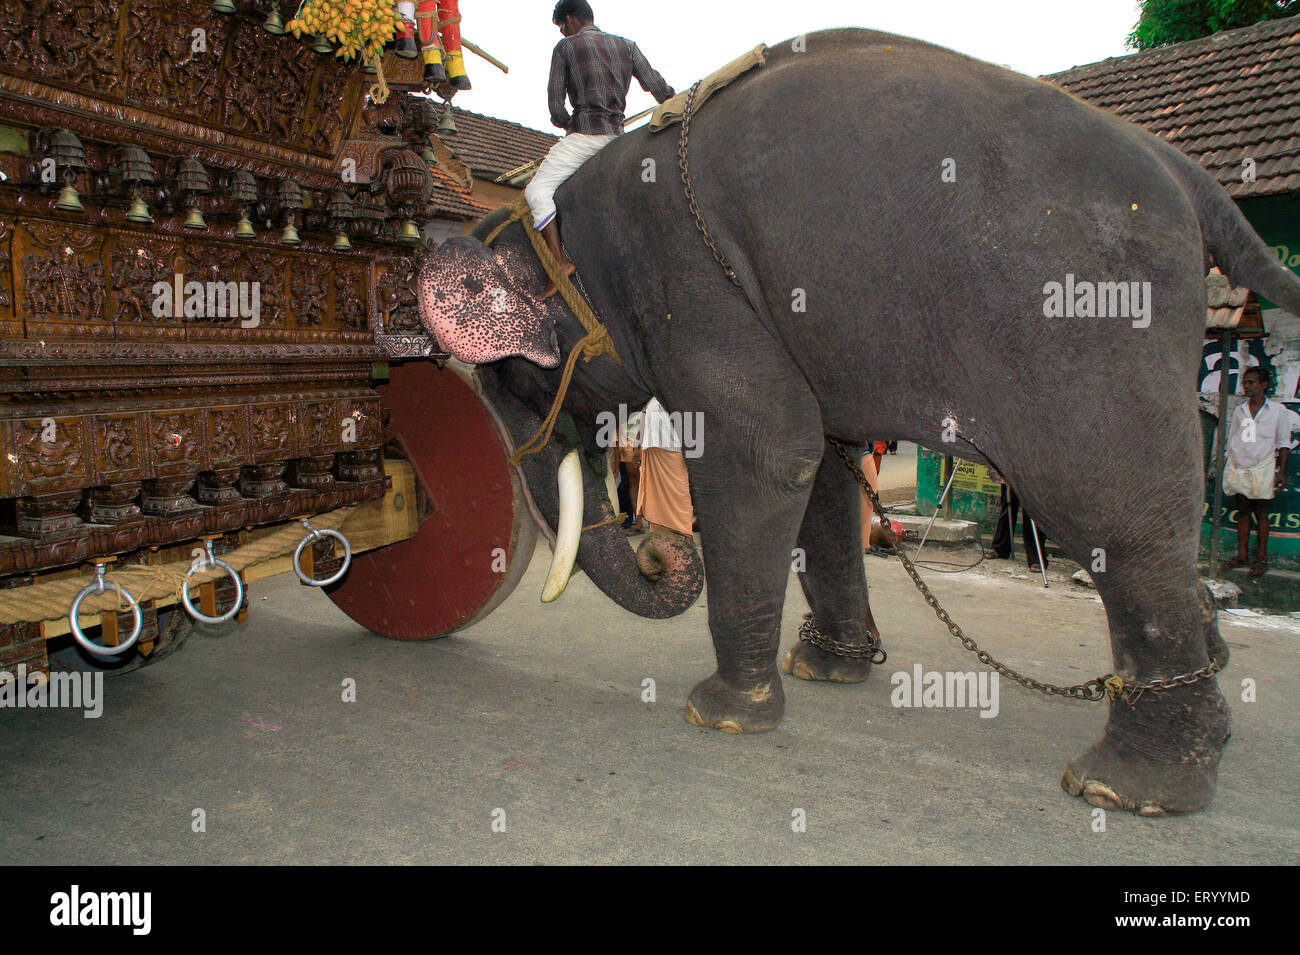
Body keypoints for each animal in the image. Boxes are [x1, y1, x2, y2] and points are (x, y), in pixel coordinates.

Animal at [413, 27, 1300, 815]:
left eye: (509, 376)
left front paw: (720, 712)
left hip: (1087, 315)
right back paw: (1208, 673)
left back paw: (1126, 787)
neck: (567, 213)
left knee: (1110, 504)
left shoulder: (692, 278)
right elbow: (824, 472)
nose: (661, 551)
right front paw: (826, 670)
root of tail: (1186, 174)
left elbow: (767, 452)